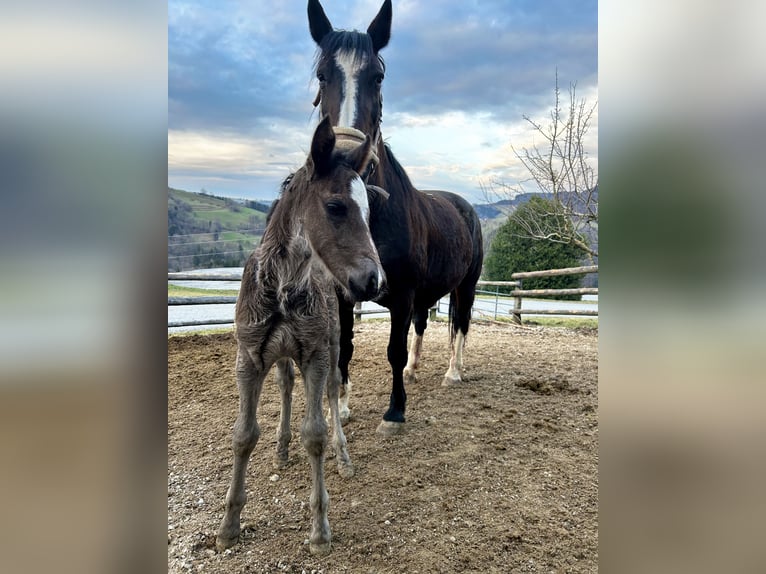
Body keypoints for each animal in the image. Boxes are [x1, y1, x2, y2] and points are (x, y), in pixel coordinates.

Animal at [216, 115, 385, 556]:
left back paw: (343, 458)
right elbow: (243, 436)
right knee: (286, 385)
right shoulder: (249, 359)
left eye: (369, 211)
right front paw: (228, 526)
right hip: (280, 357)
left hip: (333, 343)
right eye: (335, 206)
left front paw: (320, 530)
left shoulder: (315, 355)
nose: (374, 280)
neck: (281, 289)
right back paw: (280, 448)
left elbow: (316, 434)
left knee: (333, 391)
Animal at [307, 0, 484, 436]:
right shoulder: (344, 294)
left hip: (466, 286)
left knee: (461, 324)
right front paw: (342, 407)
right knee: (424, 326)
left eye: (378, 77)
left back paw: (454, 372)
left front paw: (394, 413)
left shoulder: (402, 294)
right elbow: (345, 349)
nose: (341, 158)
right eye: (322, 75)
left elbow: (394, 350)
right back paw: (417, 372)